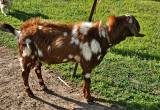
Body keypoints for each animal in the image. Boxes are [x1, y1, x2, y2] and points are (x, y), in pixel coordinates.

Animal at [0, 15, 144, 103]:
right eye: (135, 23)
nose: (140, 30)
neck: (102, 36)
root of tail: (20, 32)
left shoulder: (84, 64)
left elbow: (85, 81)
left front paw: (85, 95)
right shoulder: (87, 63)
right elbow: (88, 81)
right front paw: (89, 98)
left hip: (37, 57)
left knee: (37, 69)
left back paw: (44, 87)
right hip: (27, 56)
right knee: (24, 74)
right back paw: (30, 93)